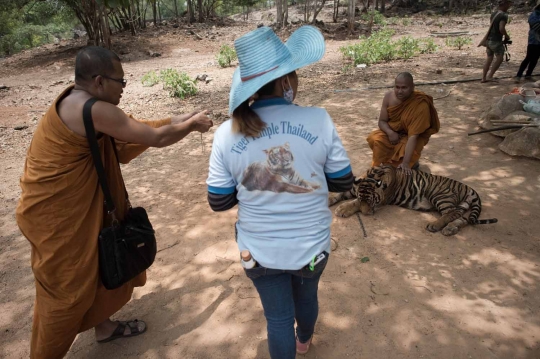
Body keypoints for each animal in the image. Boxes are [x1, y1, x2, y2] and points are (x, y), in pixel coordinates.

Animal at [330, 165, 498, 236]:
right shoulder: (354, 188)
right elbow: (342, 194)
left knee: (451, 213)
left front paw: (342, 209)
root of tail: (466, 186)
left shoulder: (382, 201)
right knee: (461, 217)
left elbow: (355, 202)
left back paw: (435, 225)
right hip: (460, 205)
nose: (366, 215)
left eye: (372, 202)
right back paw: (450, 229)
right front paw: (331, 200)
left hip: (439, 195)